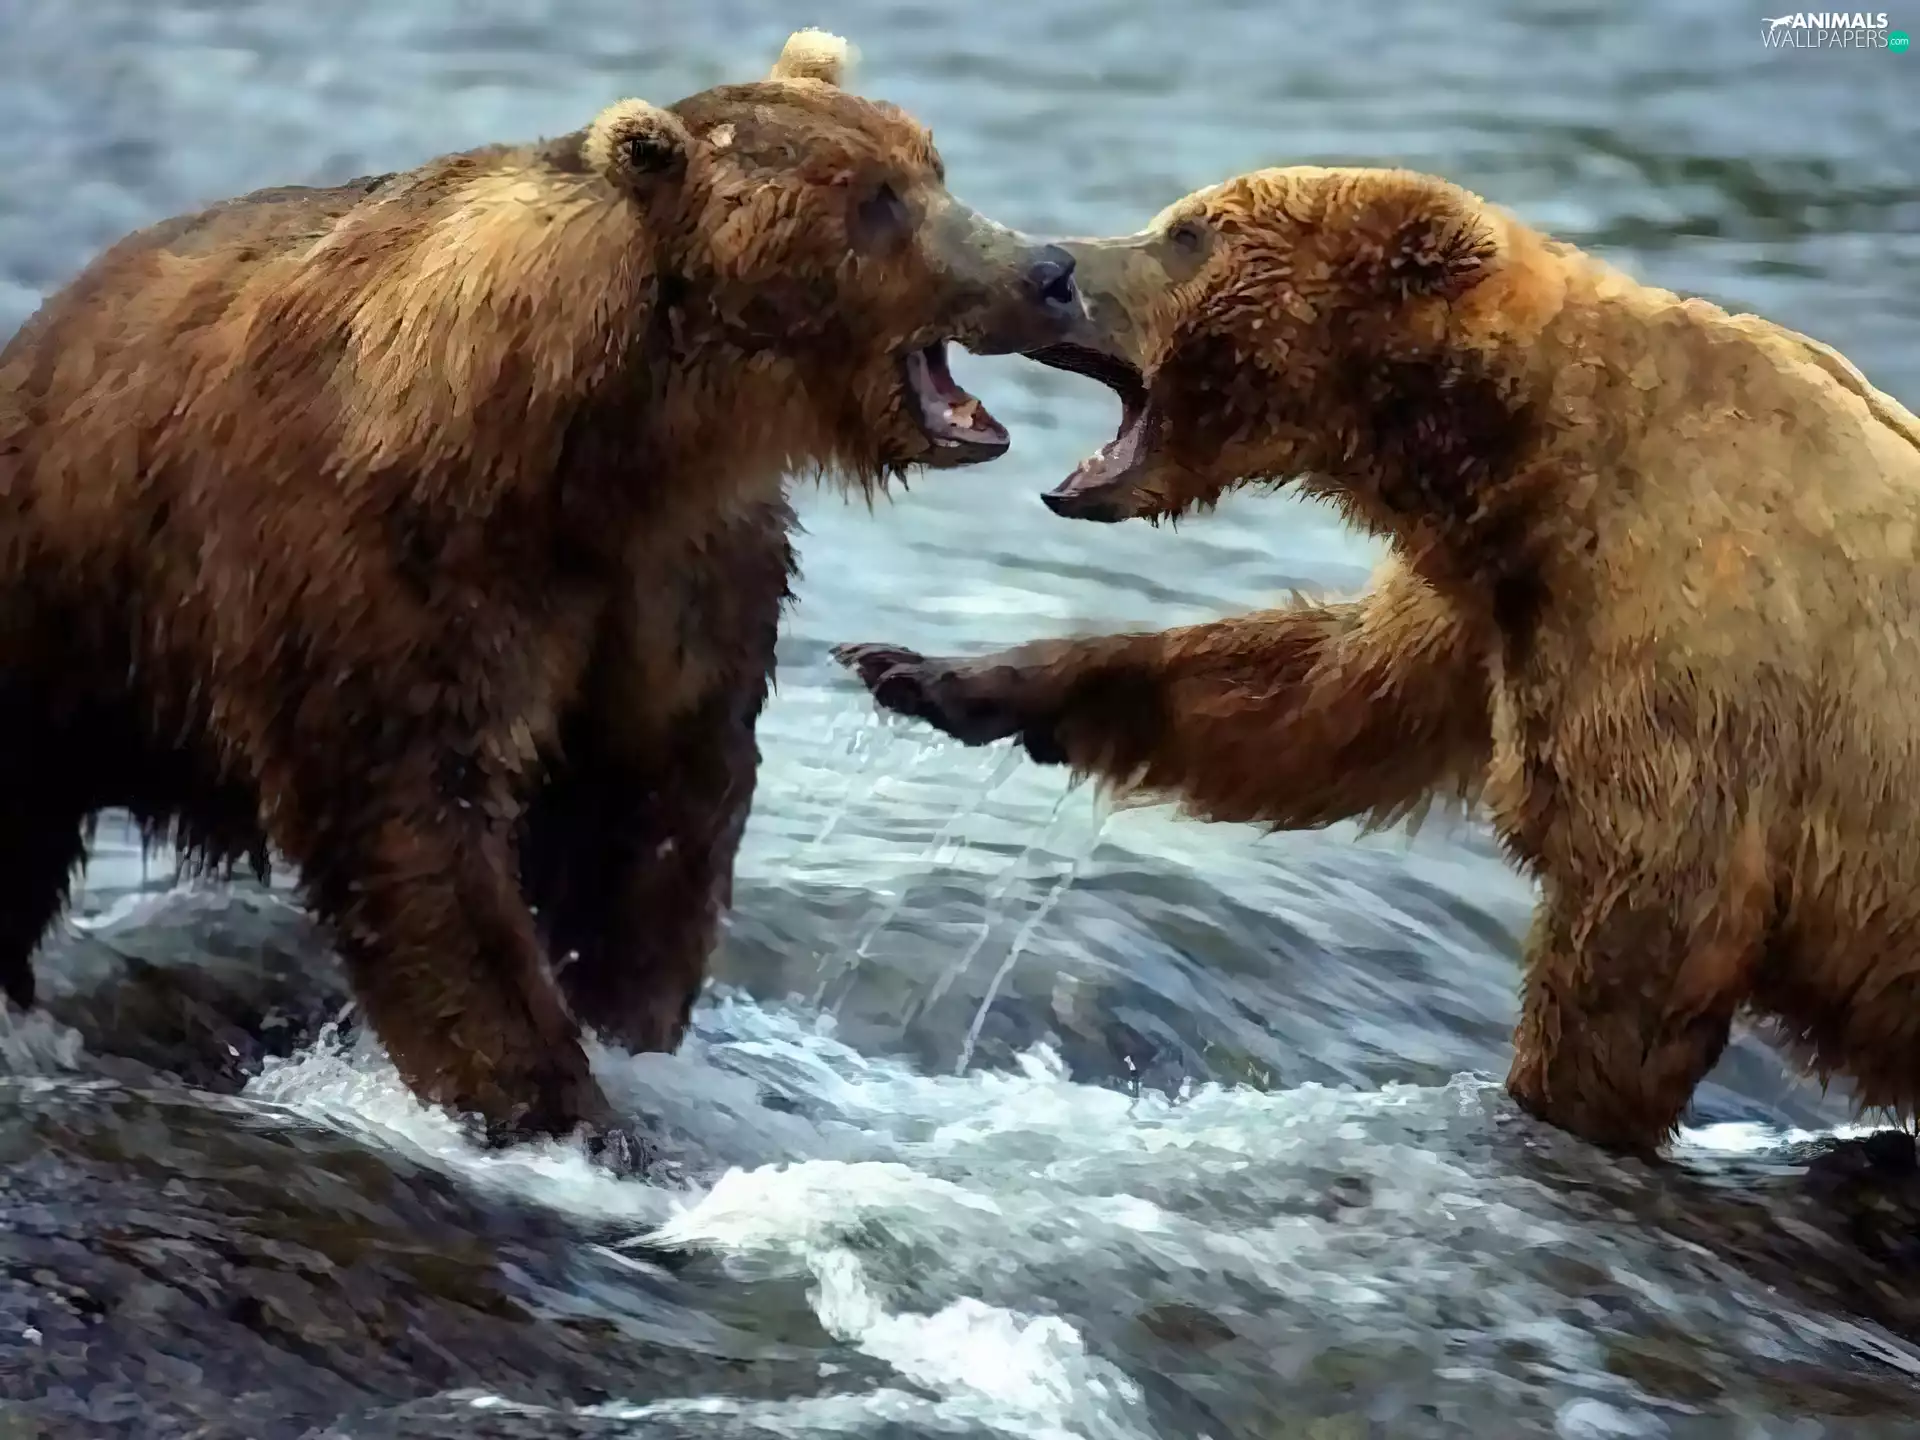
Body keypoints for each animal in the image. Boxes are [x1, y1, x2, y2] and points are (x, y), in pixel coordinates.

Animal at [0, 28, 1090, 1156]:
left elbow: (660, 805)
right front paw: (554, 1103)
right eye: (873, 199)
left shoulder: (679, 577)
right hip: (65, 602)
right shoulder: (393, 557)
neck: (608, 438)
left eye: (932, 166)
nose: (1050, 270)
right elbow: (413, 818)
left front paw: (622, 1028)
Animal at [835, 163, 1920, 1157]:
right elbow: (1311, 704)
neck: (1527, 464)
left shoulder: (1686, 644)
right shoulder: (1481, 611)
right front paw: (935, 674)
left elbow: (1647, 920)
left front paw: (1548, 1105)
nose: (1057, 268)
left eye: (1188, 233)